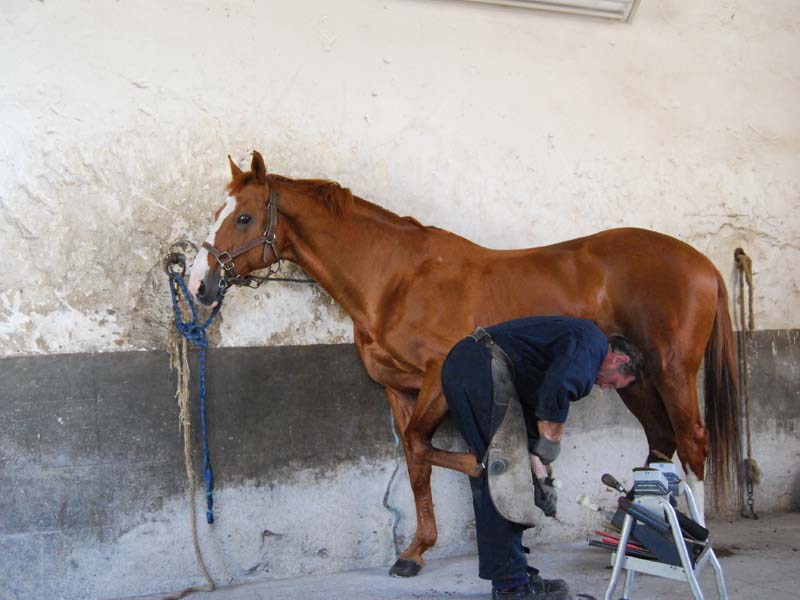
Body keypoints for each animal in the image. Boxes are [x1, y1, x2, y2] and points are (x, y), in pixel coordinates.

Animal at [186, 152, 736, 580]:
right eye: (218, 211)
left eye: (243, 218)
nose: (198, 285)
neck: (395, 280)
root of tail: (705, 264)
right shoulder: (399, 389)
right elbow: (416, 462)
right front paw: (414, 551)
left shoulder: (437, 378)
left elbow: (422, 447)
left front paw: (498, 479)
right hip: (632, 378)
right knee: (661, 442)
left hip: (671, 372)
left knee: (692, 442)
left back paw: (695, 542)